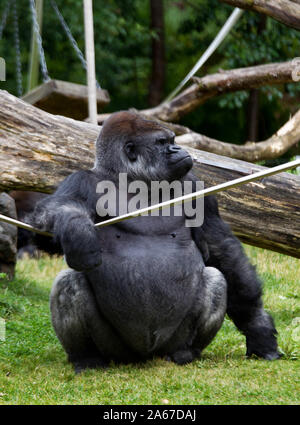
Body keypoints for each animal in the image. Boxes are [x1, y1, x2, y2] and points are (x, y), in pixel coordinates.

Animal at [29, 110, 280, 372]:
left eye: (172, 140)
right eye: (161, 143)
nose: (177, 148)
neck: (133, 180)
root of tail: (145, 356)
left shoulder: (194, 186)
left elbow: (221, 250)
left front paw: (258, 327)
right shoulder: (80, 181)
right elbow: (52, 216)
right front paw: (78, 231)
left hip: (169, 343)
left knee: (216, 280)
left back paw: (185, 352)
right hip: (117, 351)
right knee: (69, 282)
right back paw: (86, 358)